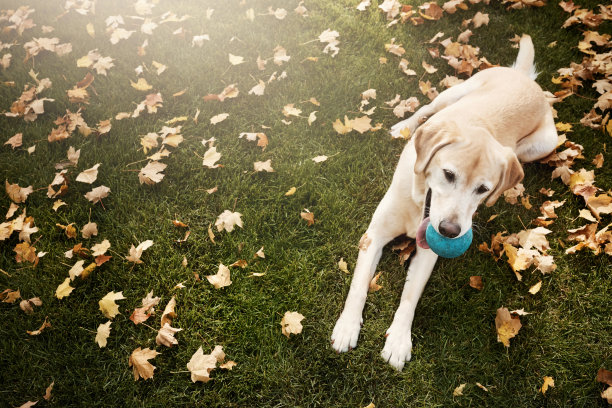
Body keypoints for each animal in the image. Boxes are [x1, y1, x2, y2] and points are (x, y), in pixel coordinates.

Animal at [332, 35, 556, 372]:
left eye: (482, 189)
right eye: (448, 174)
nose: (450, 231)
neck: (417, 204)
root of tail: (524, 78)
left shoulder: (427, 253)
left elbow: (410, 296)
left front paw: (398, 340)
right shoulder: (374, 235)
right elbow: (358, 285)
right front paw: (347, 327)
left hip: (543, 143)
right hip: (455, 92)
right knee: (426, 108)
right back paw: (404, 126)